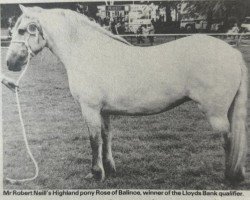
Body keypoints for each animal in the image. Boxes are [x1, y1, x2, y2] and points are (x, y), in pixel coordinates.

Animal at [5, 5, 248, 183]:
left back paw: (230, 177)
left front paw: (95, 173)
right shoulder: (104, 111)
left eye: (21, 30)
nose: (10, 63)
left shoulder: (89, 109)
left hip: (215, 113)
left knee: (228, 140)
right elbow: (106, 137)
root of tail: (233, 53)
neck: (89, 53)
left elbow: (94, 140)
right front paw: (110, 169)